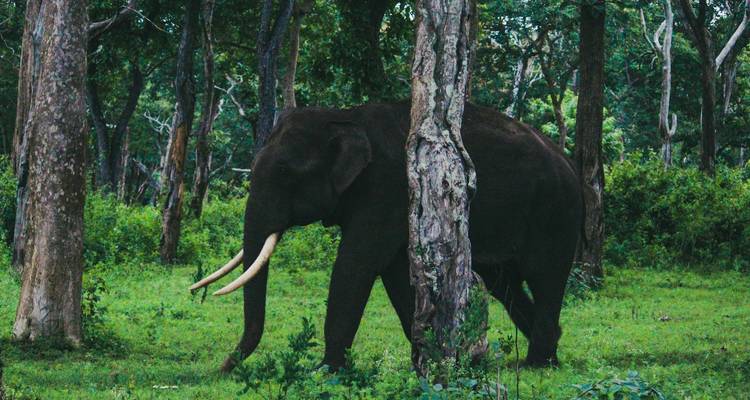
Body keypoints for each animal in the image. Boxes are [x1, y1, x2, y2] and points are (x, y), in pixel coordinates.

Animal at [191, 101, 583, 372]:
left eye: (286, 173)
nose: (225, 366)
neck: (344, 116)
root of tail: (569, 163)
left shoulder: (388, 186)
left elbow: (358, 263)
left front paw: (326, 371)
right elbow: (394, 272)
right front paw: (429, 361)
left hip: (556, 211)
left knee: (546, 277)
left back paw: (536, 364)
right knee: (506, 283)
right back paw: (542, 352)